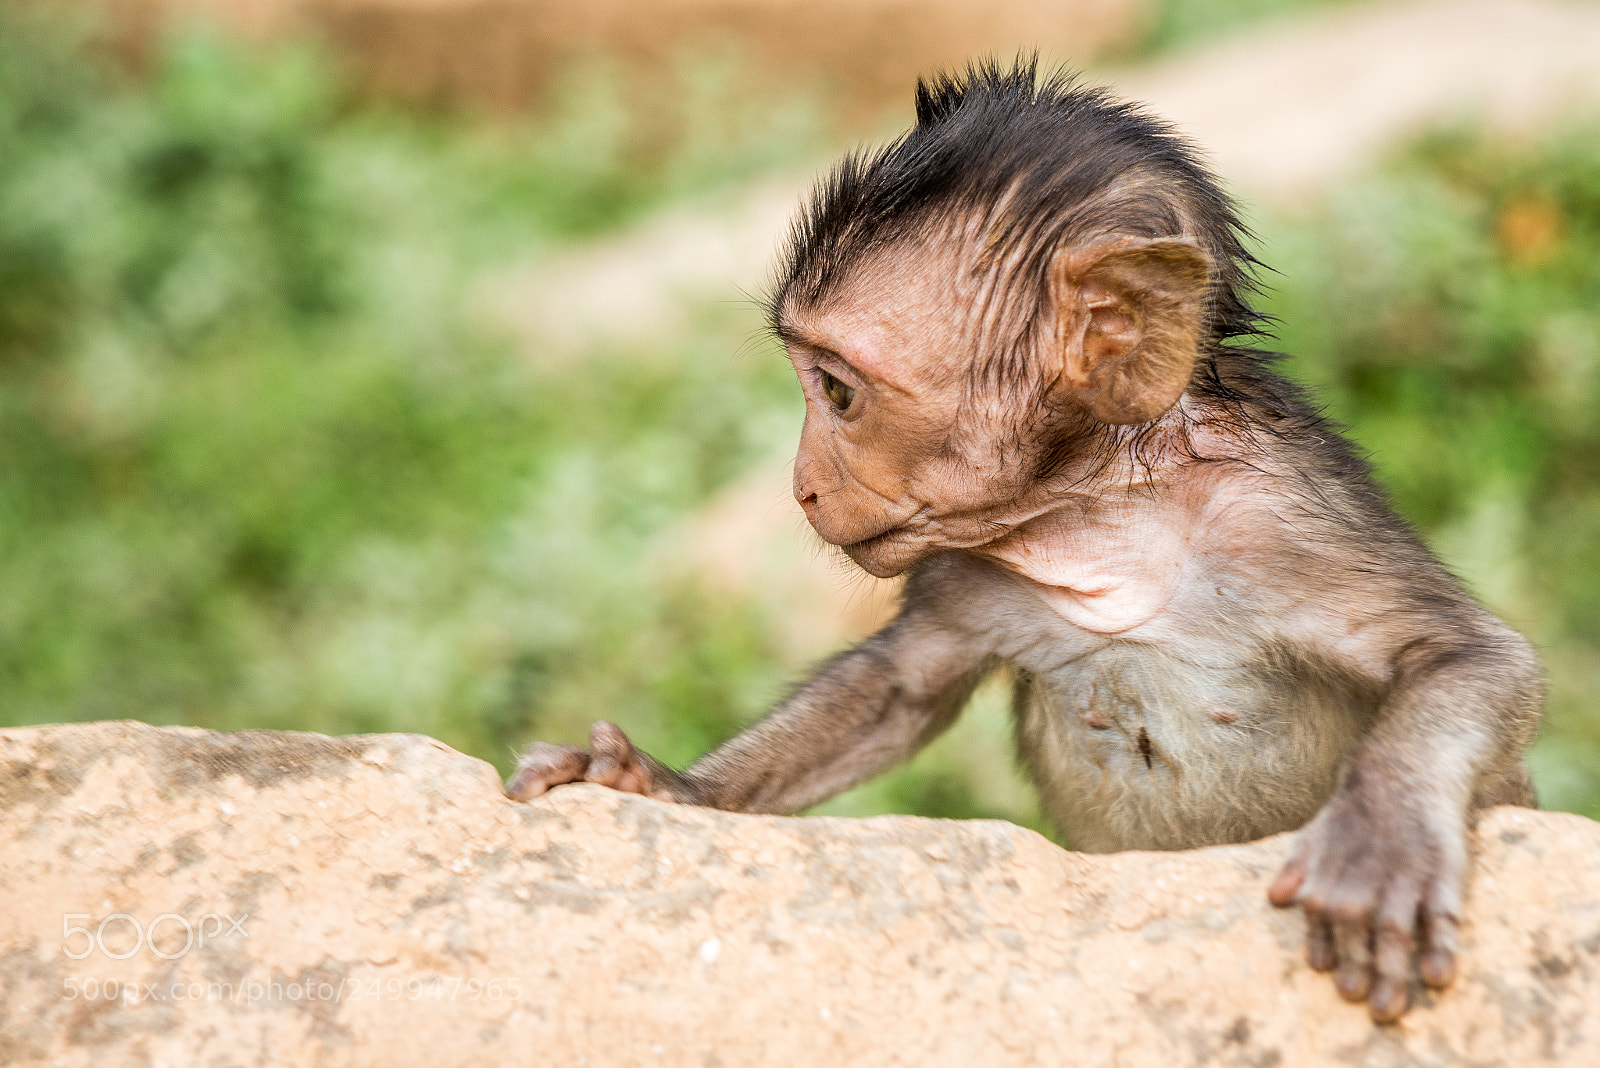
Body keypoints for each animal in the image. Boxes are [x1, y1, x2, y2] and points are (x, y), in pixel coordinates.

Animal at [506, 59, 1542, 1023]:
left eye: (836, 391)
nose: (800, 486)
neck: (1106, 513)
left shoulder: (1282, 522)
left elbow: (1472, 658)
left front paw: (1384, 839)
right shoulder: (967, 565)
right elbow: (899, 686)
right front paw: (657, 784)